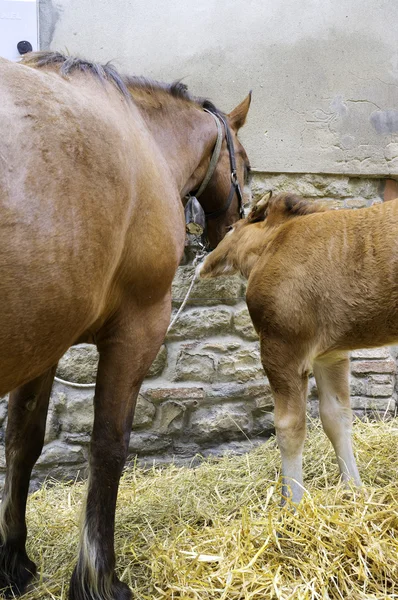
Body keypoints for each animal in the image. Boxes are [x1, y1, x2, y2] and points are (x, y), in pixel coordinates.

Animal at [202, 195, 398, 504]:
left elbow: (288, 428)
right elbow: (336, 417)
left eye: (230, 228)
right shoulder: (330, 354)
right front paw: (354, 491)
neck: (274, 244)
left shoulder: (283, 348)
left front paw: (292, 503)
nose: (204, 263)